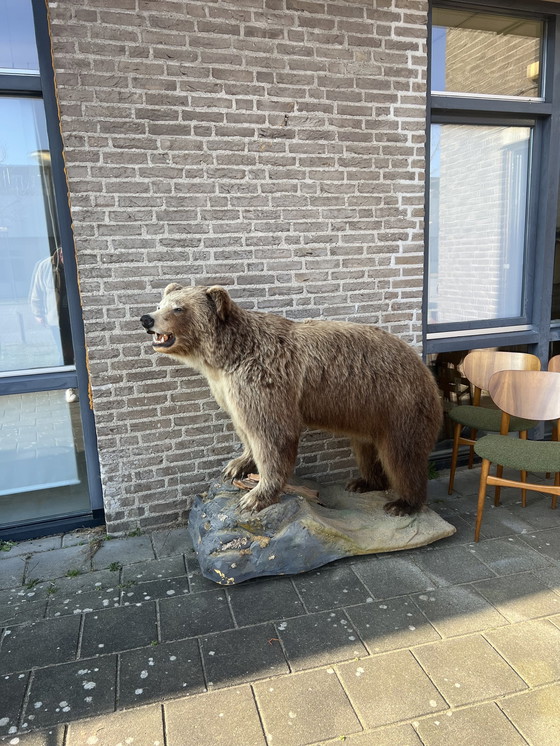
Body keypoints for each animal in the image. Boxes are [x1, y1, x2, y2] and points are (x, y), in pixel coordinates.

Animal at [140, 284, 442, 516]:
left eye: (178, 308)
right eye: (160, 303)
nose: (146, 318)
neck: (226, 358)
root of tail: (423, 365)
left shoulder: (264, 380)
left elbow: (272, 434)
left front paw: (255, 496)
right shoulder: (229, 389)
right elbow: (244, 428)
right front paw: (236, 465)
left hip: (399, 403)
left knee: (402, 456)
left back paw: (403, 503)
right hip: (367, 411)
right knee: (366, 449)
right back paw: (363, 482)